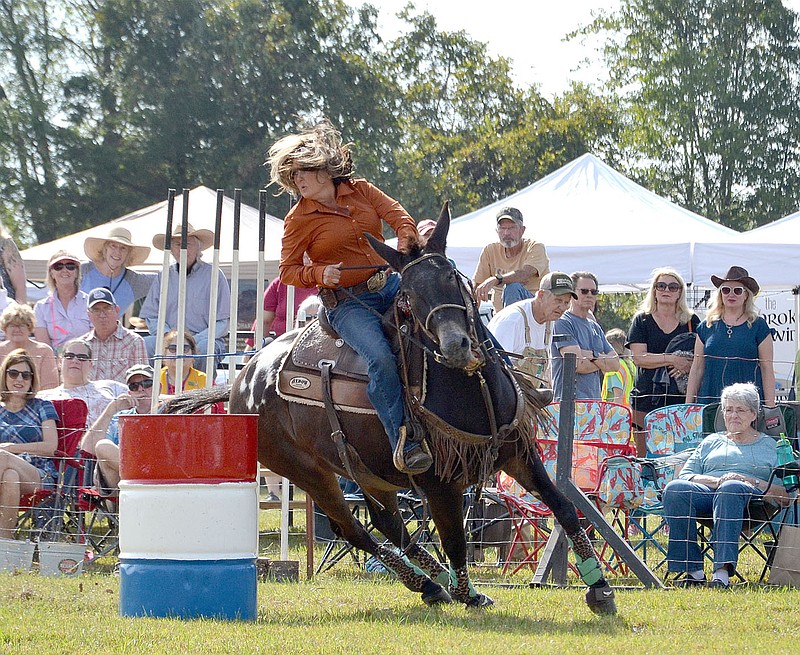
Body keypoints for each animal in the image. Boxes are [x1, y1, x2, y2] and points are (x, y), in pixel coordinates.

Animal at [166, 205, 620, 616]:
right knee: (352, 528)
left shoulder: (517, 451)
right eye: (410, 295)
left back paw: (432, 578)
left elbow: (563, 506)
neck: (470, 388)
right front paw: (469, 594)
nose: (456, 346)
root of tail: (243, 378)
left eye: (452, 277)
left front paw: (599, 588)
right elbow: (455, 538)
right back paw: (428, 583)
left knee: (387, 522)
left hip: (366, 468)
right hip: (307, 470)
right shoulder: (439, 481)